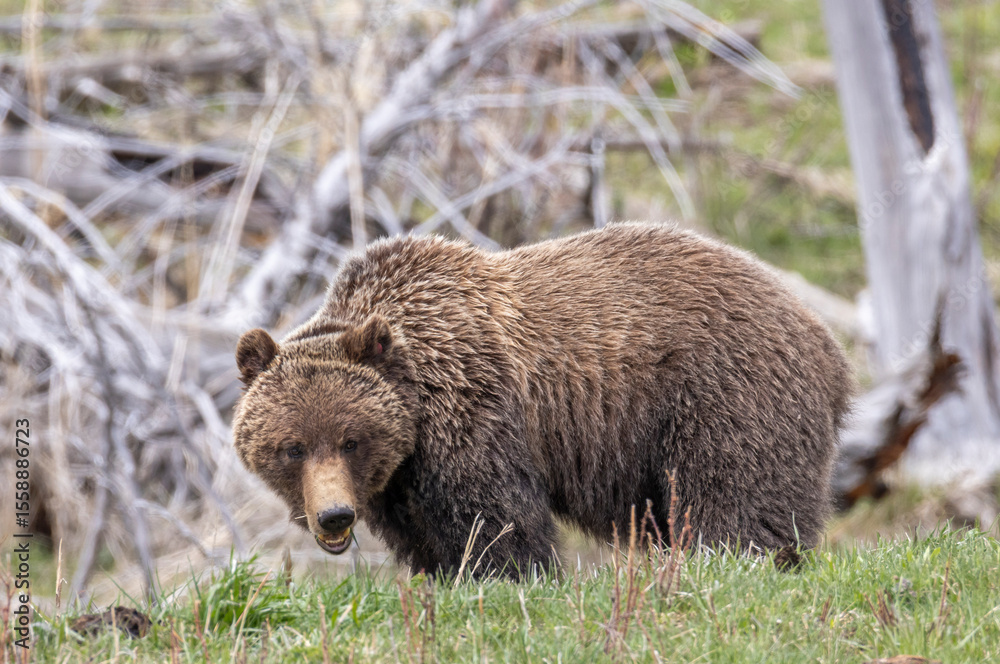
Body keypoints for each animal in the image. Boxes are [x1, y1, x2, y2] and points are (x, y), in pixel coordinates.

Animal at [232, 222, 852, 577]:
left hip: (723, 393)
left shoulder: (471, 412)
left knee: (734, 500)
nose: (334, 515)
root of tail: (826, 340)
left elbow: (496, 521)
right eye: (291, 447)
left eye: (351, 439)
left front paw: (508, 576)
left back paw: (731, 561)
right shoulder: (399, 482)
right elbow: (428, 537)